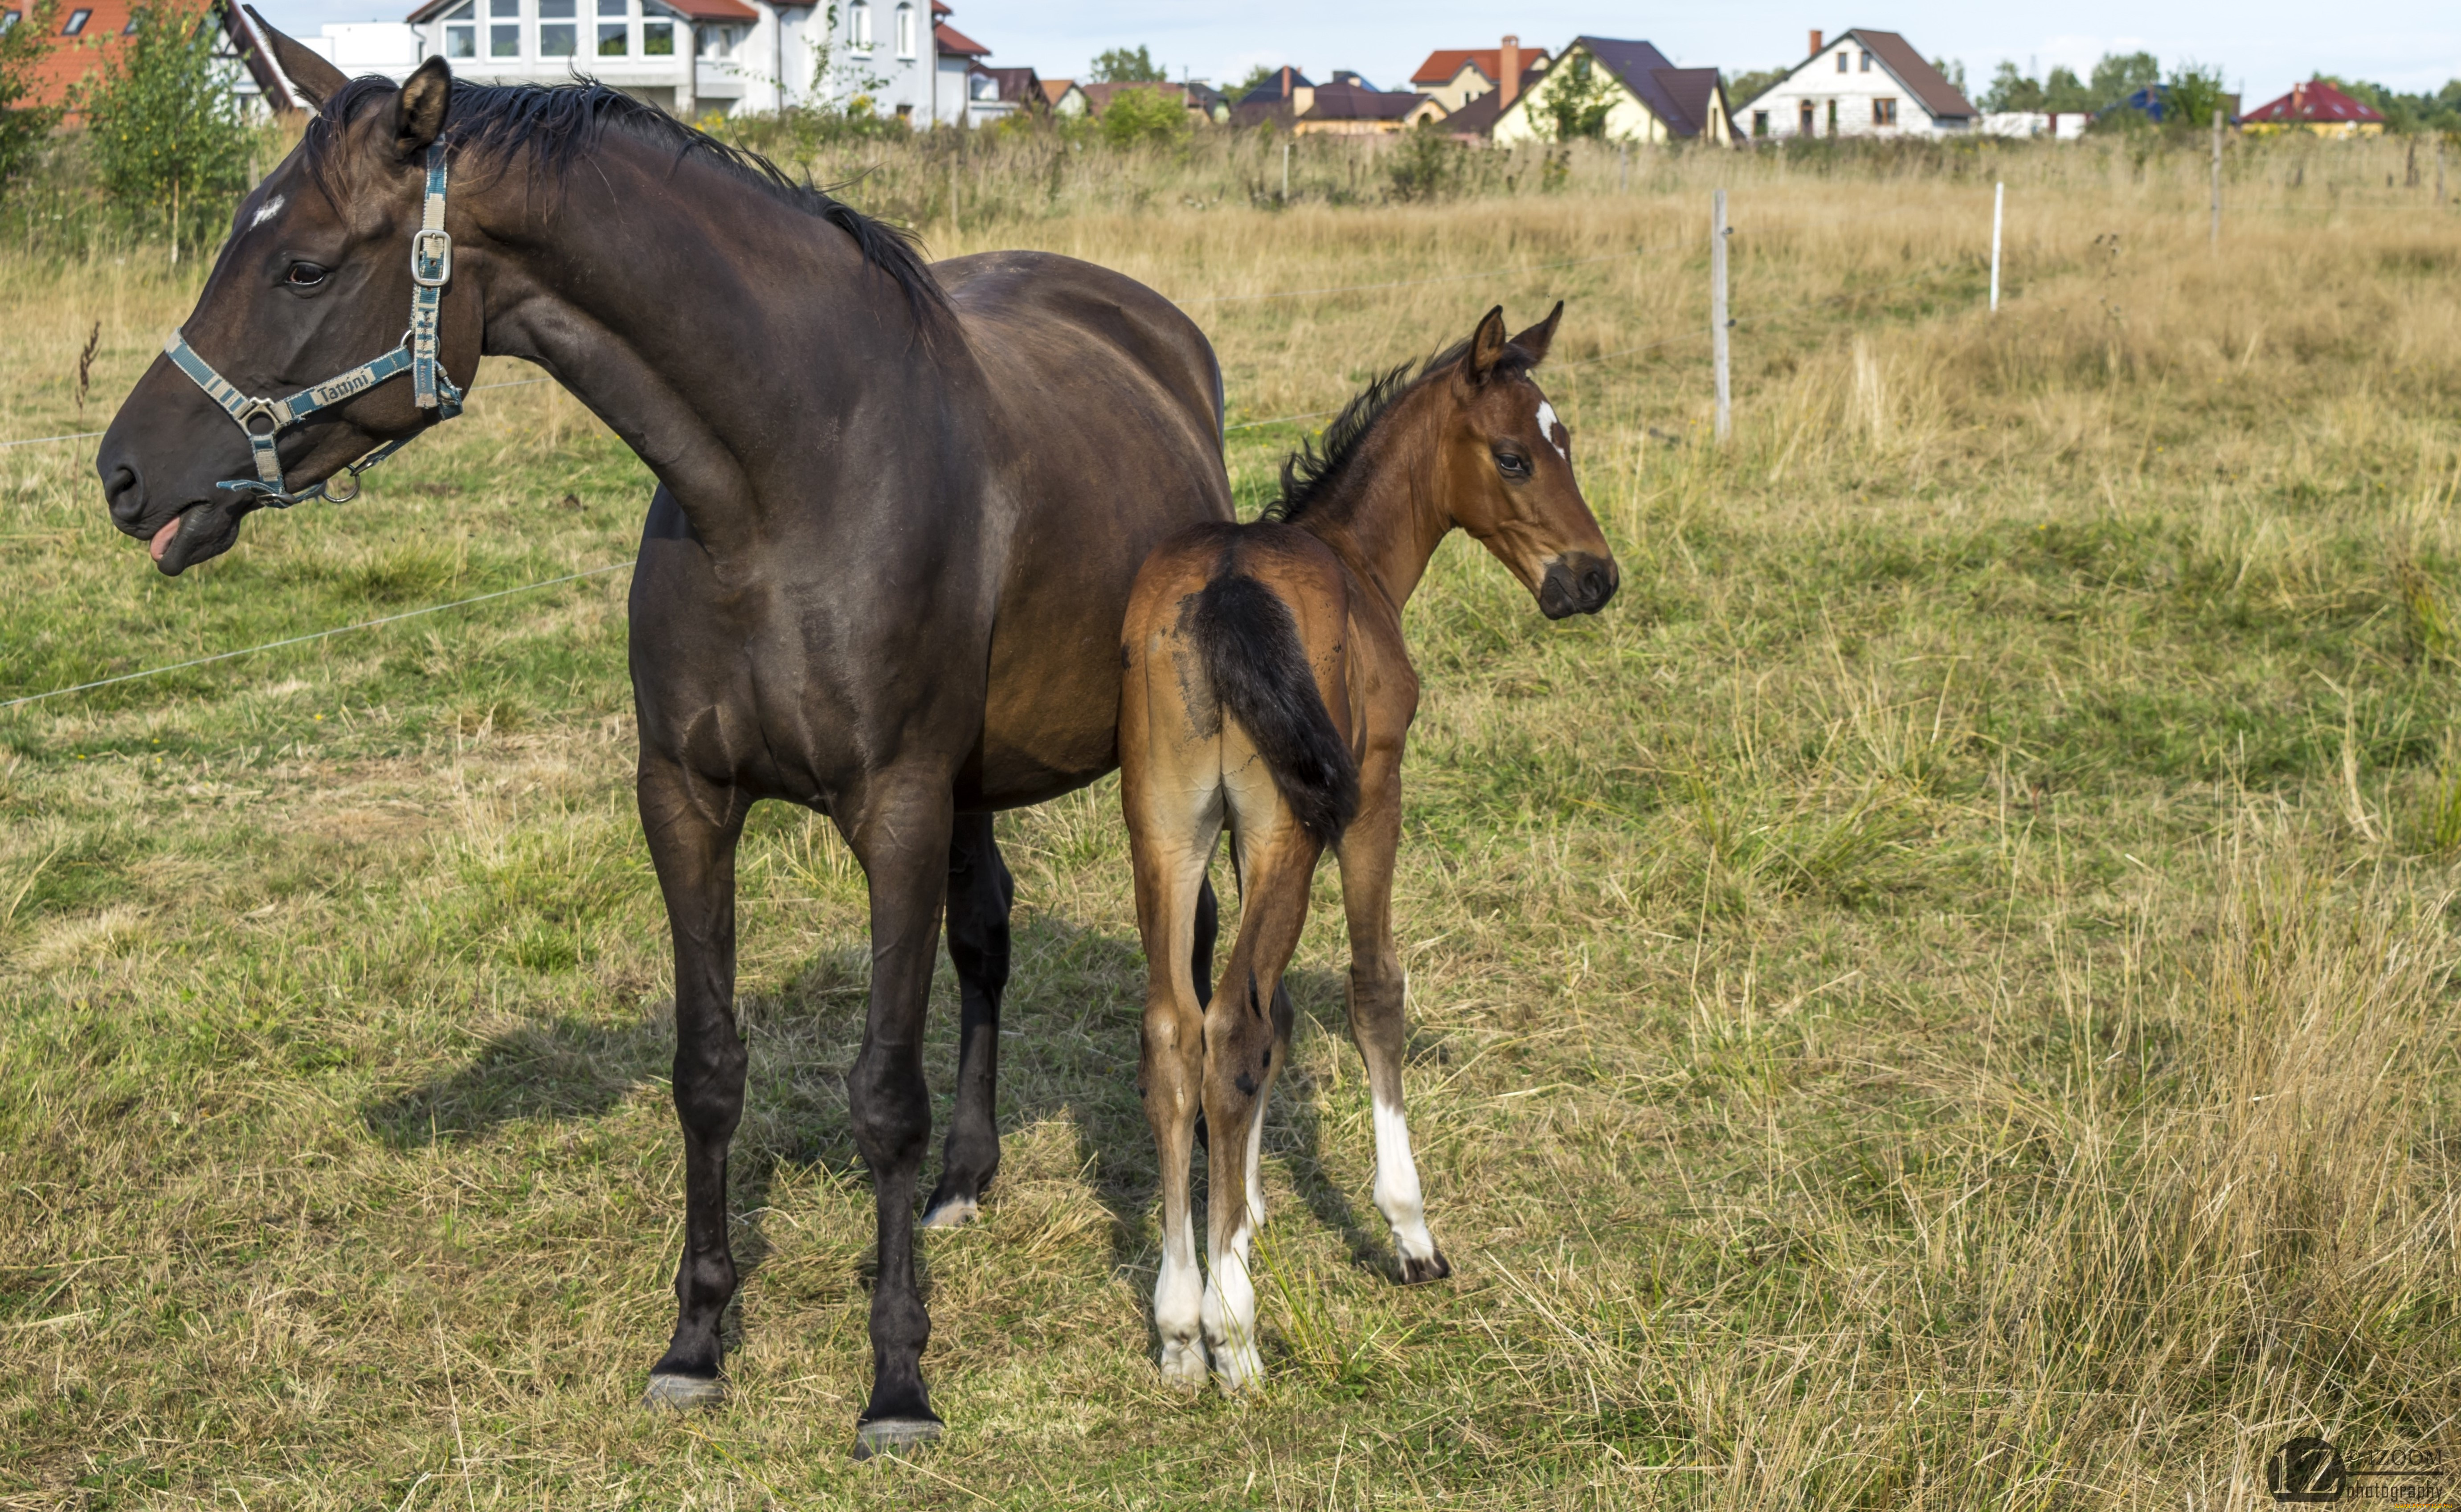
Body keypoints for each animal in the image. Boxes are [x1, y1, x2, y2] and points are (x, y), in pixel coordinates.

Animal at [96, 33, 1230, 1458]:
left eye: (302, 264)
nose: (122, 474)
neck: (786, 478)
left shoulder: (898, 808)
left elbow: (883, 1094)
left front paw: (896, 1379)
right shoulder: (686, 799)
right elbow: (706, 1071)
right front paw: (696, 1341)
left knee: (1184, 948)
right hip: (976, 784)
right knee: (986, 936)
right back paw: (969, 1180)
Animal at [1117, 311, 1614, 1398]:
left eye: (1566, 442)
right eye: (1513, 455)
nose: (1594, 577)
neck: (1350, 556)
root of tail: (1223, 587)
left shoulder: (1238, 832)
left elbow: (1272, 1011)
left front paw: (1244, 1210)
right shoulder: (1371, 791)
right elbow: (1370, 986)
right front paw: (1408, 1228)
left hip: (1166, 832)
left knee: (1179, 1030)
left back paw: (1178, 1322)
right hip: (1288, 827)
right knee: (1227, 1027)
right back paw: (1233, 1331)